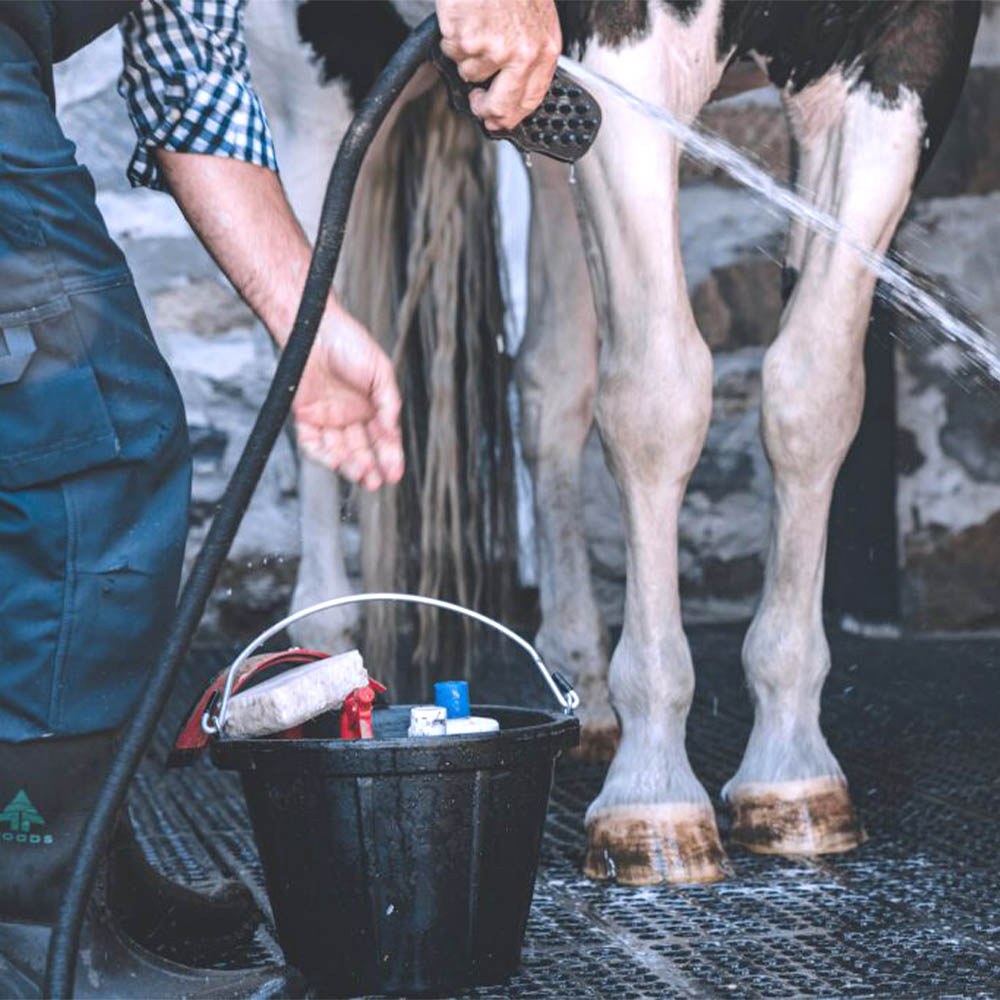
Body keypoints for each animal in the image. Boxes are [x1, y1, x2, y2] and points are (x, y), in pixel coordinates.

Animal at [246, 0, 980, 884]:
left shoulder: (900, 63)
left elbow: (813, 395)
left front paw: (793, 770)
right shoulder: (626, 59)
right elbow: (659, 399)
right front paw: (654, 793)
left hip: (539, 114)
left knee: (549, 381)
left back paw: (584, 683)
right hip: (314, 85)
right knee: (311, 335)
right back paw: (318, 652)